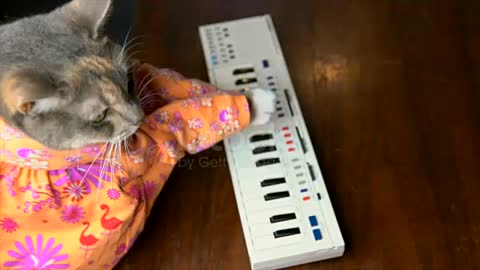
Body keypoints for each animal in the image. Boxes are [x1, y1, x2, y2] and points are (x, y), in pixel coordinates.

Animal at [0, 0, 276, 151]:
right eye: (99, 116)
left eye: (129, 81)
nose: (139, 118)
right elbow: (184, 116)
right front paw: (259, 103)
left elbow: (184, 84)